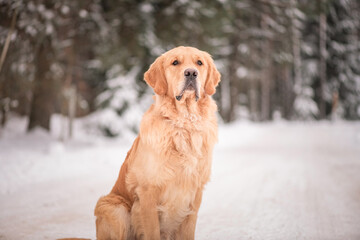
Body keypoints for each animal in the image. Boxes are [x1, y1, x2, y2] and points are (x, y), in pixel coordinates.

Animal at [93, 46, 219, 239]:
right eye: (175, 62)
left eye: (199, 62)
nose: (191, 73)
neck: (184, 125)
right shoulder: (147, 194)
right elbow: (152, 232)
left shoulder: (195, 195)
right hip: (113, 207)